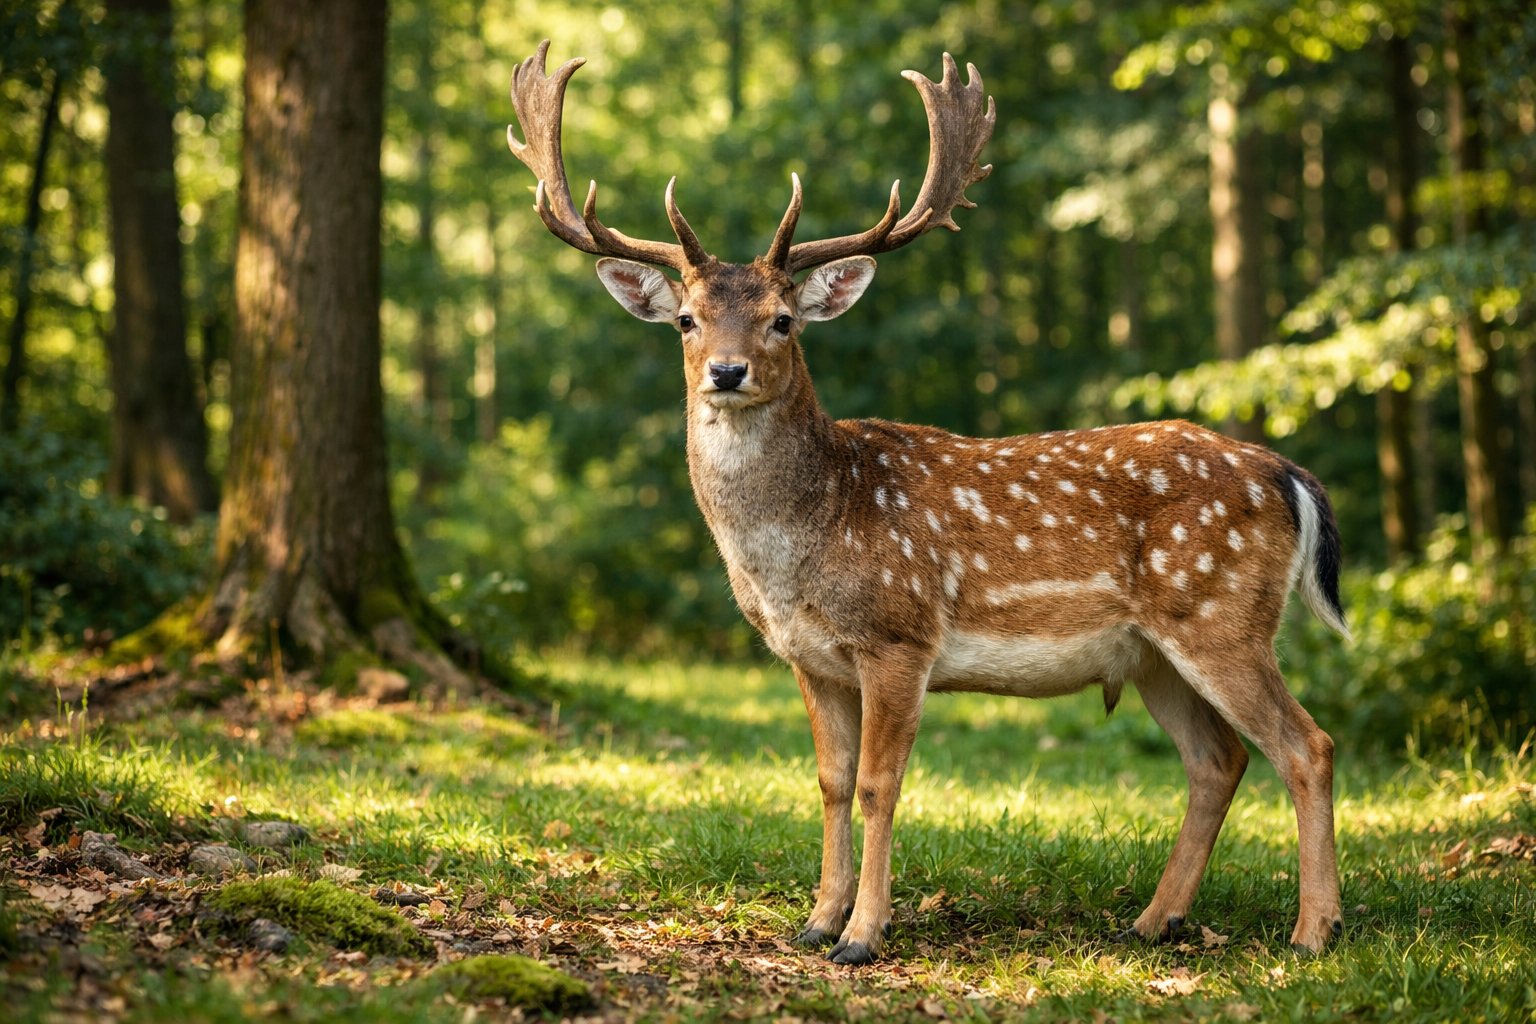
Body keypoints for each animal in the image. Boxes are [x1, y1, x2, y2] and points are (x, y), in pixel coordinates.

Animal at [506, 40, 1349, 965]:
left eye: (784, 320)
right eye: (686, 320)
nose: (727, 372)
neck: (800, 549)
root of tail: (1283, 472)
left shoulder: (899, 634)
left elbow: (881, 784)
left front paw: (863, 936)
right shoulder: (810, 657)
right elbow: (831, 781)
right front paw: (816, 920)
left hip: (1221, 611)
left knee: (1307, 744)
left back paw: (1314, 931)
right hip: (1153, 652)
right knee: (1218, 759)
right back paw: (1154, 919)